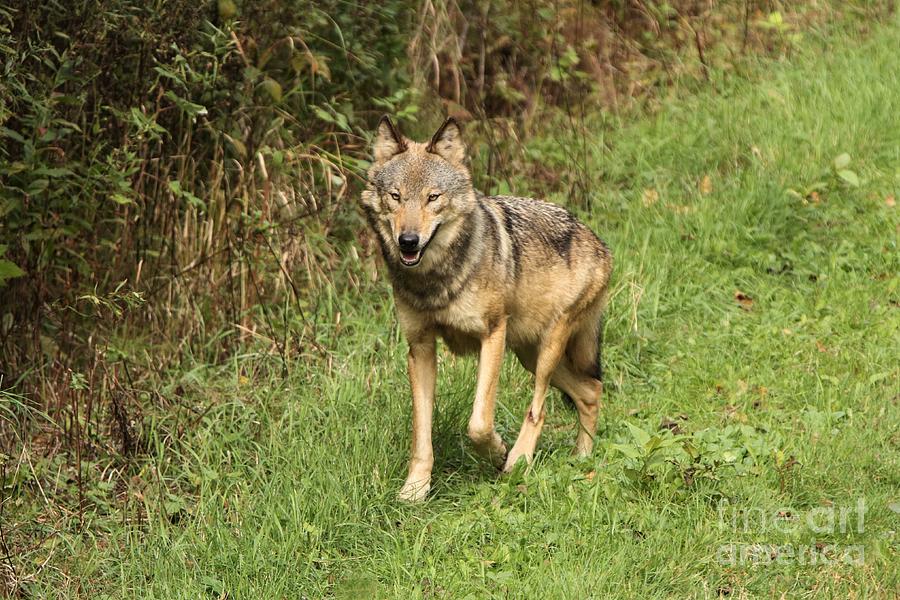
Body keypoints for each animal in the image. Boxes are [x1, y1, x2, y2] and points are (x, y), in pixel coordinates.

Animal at [362, 117, 616, 502]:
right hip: (528, 354)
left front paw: (497, 452)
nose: (408, 241)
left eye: (433, 197)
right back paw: (581, 460)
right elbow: (422, 435)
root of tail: (599, 242)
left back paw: (520, 458)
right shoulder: (420, 348)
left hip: (545, 352)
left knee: (540, 409)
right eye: (396, 196)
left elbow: (479, 423)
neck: (435, 281)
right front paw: (415, 489)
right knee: (590, 392)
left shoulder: (492, 334)